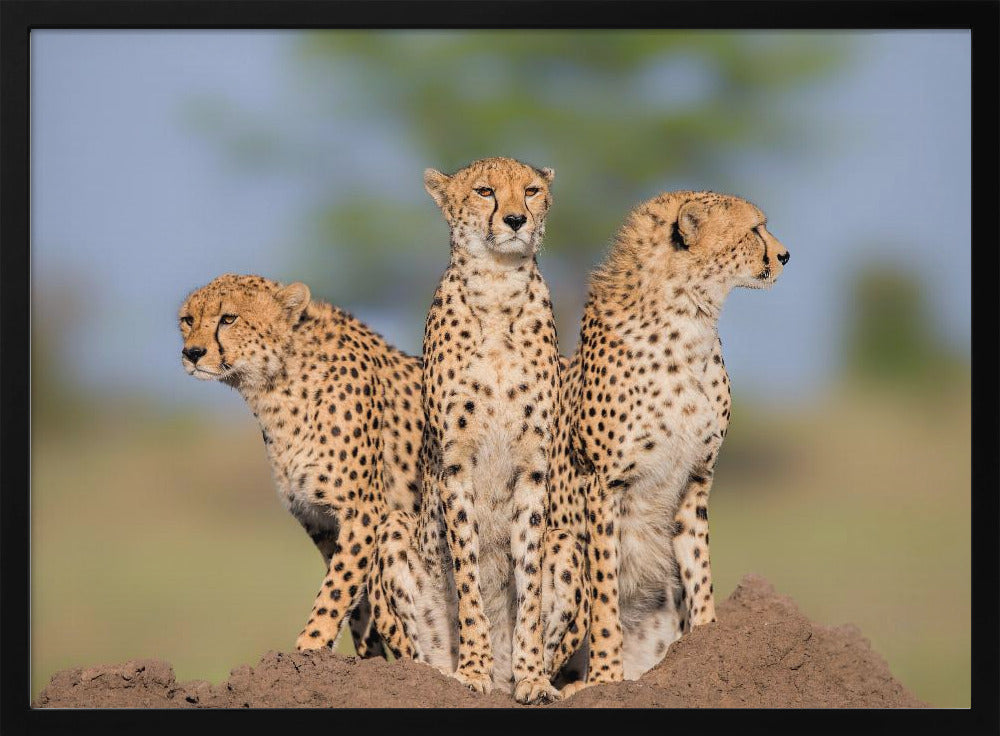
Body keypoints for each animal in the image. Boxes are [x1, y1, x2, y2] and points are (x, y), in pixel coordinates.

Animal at [178, 273, 425, 658]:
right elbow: (356, 603)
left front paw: (309, 647)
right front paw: (364, 657)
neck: (276, 386)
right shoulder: (320, 522)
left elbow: (337, 589)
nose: (192, 353)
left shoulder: (362, 512)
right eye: (188, 320)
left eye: (228, 319)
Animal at [564, 190, 790, 693]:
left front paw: (706, 642)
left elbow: (699, 570)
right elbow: (605, 593)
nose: (785, 255)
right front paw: (606, 678)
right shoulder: (602, 486)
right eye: (755, 229)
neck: (689, 319)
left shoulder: (695, 480)